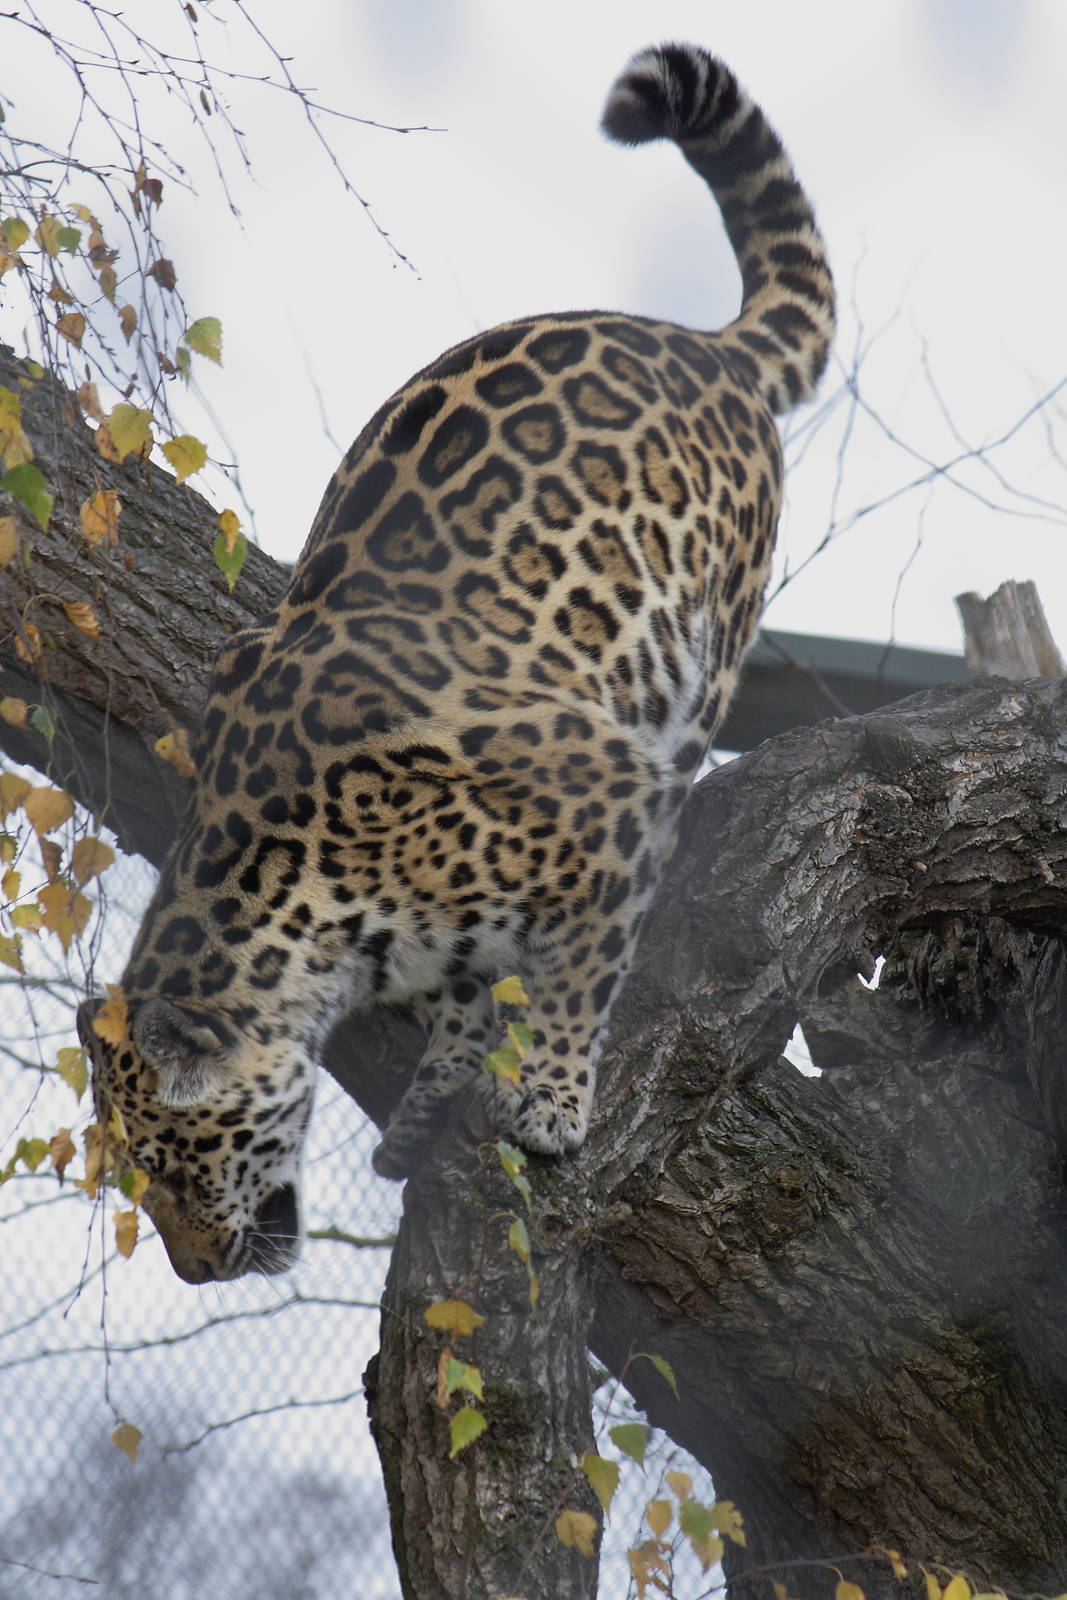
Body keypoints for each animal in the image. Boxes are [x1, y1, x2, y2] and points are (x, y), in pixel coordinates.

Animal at [82, 42, 835, 1283]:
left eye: (177, 1166)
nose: (193, 1264)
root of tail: (700, 344)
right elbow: (469, 984)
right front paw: (443, 1067)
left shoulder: (605, 784)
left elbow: (578, 970)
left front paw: (549, 1098)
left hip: (699, 652)